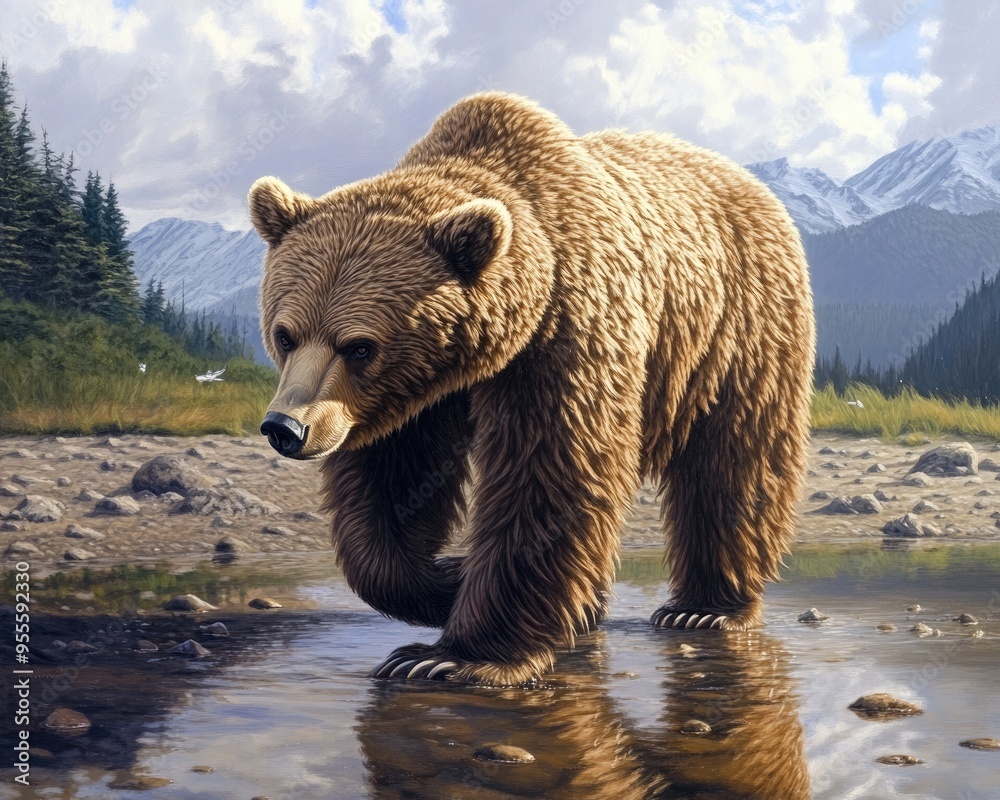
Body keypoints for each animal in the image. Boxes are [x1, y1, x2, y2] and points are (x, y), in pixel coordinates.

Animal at [249, 92, 815, 686]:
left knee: (732, 462)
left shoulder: (566, 334)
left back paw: (705, 608)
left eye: (359, 346)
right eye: (286, 334)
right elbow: (393, 484)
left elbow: (548, 472)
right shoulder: (411, 398)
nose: (286, 428)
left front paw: (450, 655)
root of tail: (749, 182)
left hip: (738, 328)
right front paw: (446, 578)